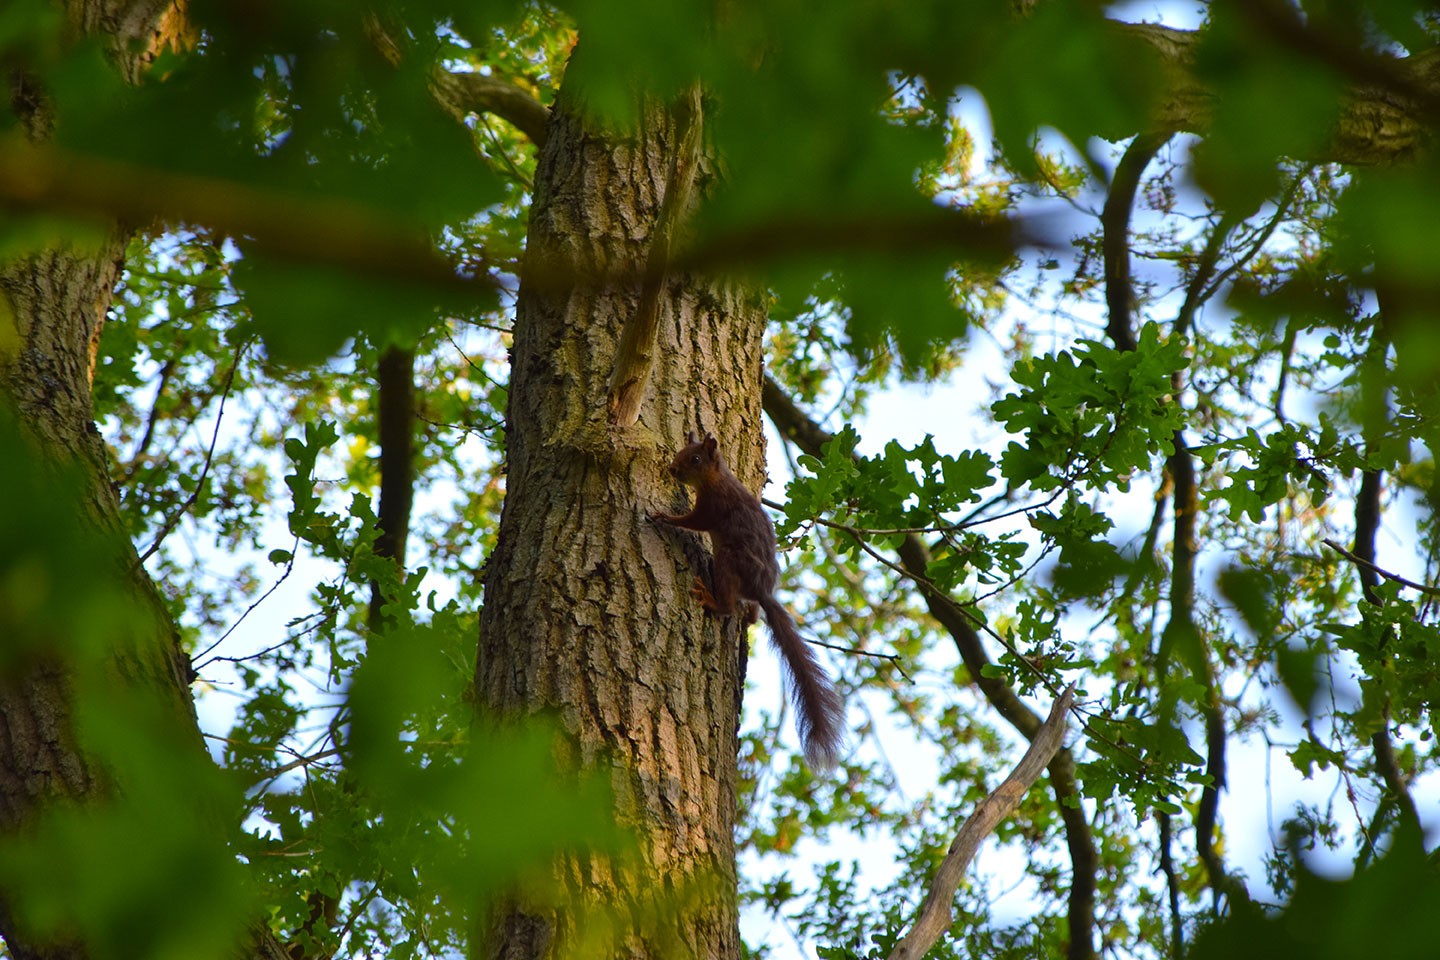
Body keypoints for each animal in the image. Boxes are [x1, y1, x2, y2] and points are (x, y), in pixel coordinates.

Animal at [653, 431, 840, 771]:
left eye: (695, 459)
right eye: (681, 452)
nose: (672, 470)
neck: (716, 479)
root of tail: (762, 590)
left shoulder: (712, 508)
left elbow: (692, 521)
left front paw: (664, 516)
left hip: (728, 560)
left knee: (729, 605)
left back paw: (713, 601)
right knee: (750, 613)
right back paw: (748, 616)